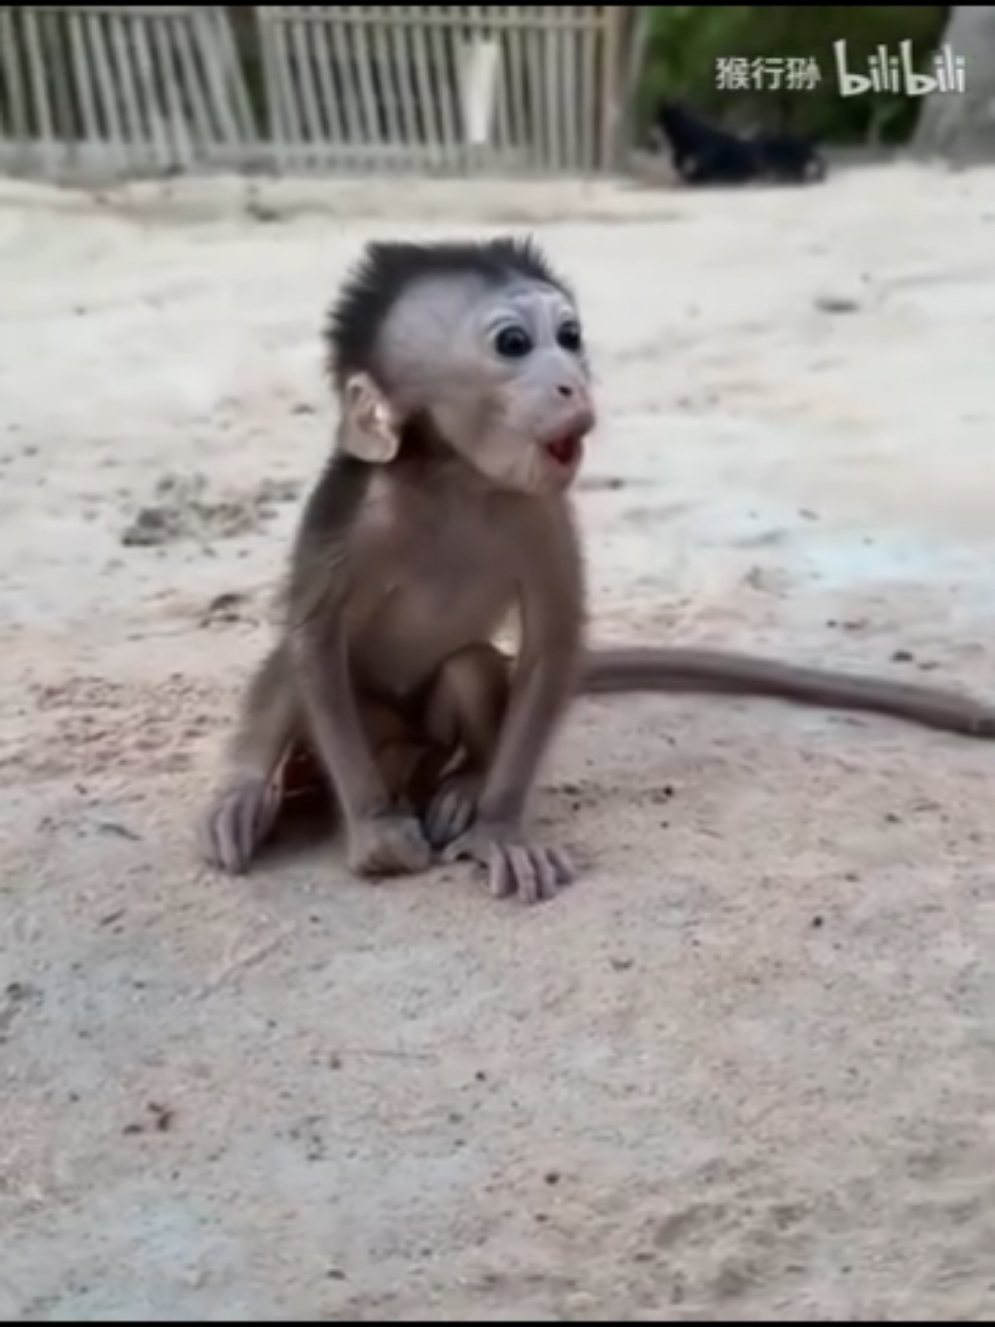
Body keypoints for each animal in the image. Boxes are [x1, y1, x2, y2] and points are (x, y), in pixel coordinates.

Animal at [199, 236, 995, 904]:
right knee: (302, 667)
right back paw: (256, 796)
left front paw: (498, 829)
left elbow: (551, 646)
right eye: (514, 344)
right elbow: (313, 638)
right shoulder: (351, 515)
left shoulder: (539, 512)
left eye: (570, 337)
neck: (457, 482)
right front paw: (372, 831)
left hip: (428, 740)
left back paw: (465, 782)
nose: (573, 385)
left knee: (470, 667)